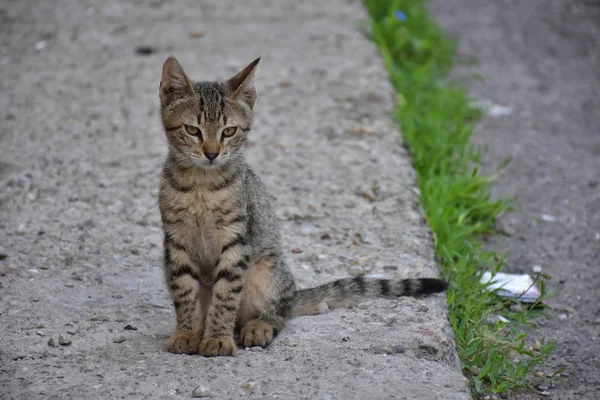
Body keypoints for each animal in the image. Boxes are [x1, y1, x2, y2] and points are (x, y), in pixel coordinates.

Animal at [157, 55, 448, 356]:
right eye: (193, 130)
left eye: (229, 131)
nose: (212, 154)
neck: (200, 187)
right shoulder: (176, 243)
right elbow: (184, 293)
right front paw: (188, 333)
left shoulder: (236, 242)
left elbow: (226, 295)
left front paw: (217, 338)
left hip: (265, 271)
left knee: (278, 313)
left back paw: (258, 327)